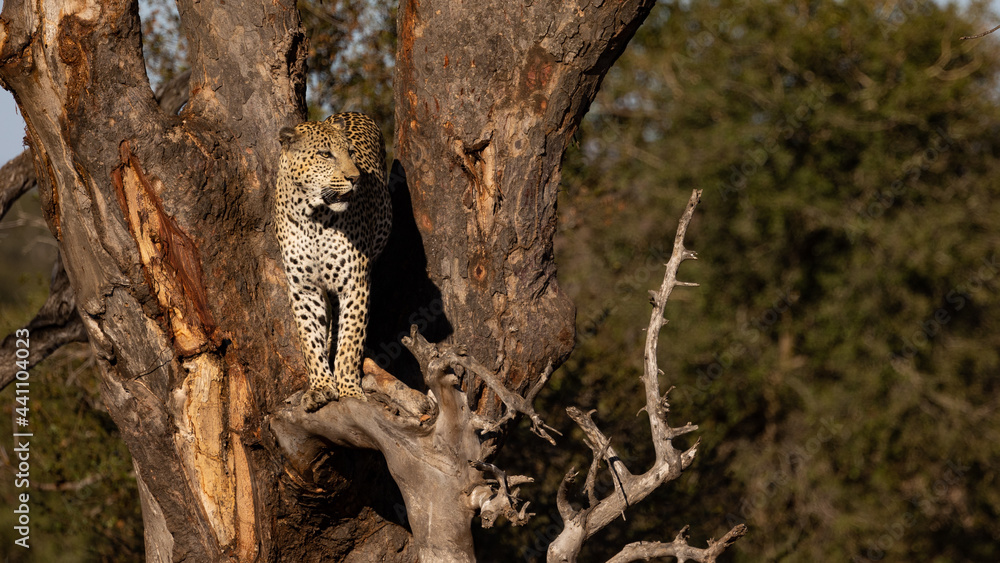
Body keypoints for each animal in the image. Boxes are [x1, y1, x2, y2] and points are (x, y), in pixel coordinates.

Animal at [274, 112, 392, 412]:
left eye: (350, 152)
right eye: (325, 154)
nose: (355, 178)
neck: (313, 217)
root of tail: (352, 112)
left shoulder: (355, 284)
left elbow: (351, 341)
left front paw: (349, 389)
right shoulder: (303, 288)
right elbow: (309, 338)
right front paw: (320, 387)